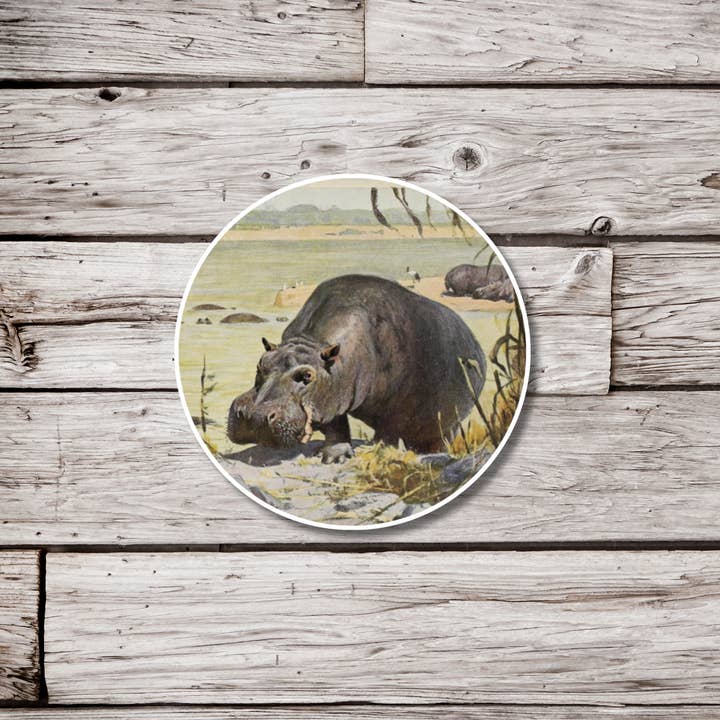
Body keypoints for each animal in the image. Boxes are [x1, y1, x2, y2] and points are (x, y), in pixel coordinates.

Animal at [228, 274, 486, 461]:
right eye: (261, 363)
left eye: (307, 375)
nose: (253, 415)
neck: (315, 343)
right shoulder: (332, 396)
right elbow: (336, 426)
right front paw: (333, 457)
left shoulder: (395, 403)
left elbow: (388, 430)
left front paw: (377, 451)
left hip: (449, 423)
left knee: (437, 439)